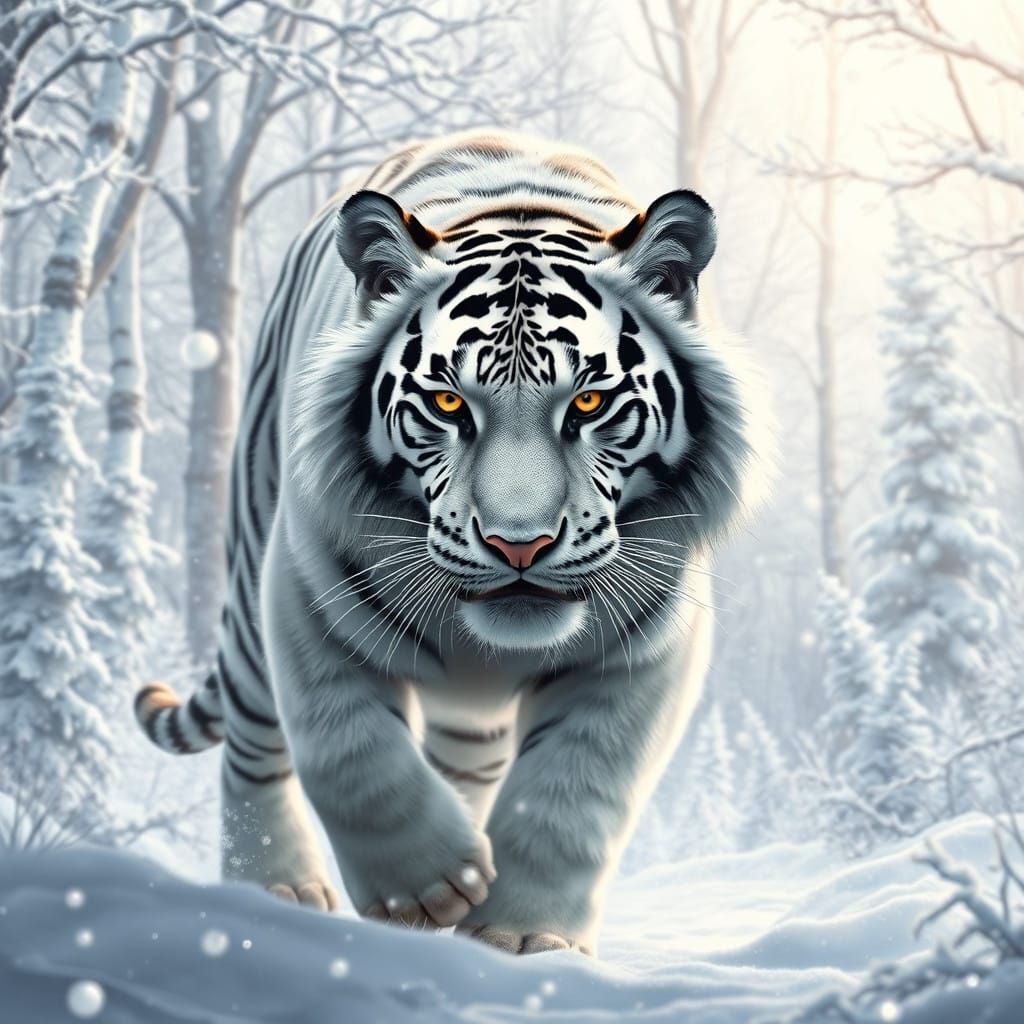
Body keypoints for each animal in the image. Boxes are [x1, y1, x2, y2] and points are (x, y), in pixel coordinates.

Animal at [135, 130, 767, 956]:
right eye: (446, 403)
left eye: (588, 403)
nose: (519, 545)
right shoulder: (305, 585)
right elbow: (349, 747)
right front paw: (427, 886)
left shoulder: (649, 638)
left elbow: (579, 783)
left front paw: (525, 935)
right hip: (247, 584)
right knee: (253, 743)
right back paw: (275, 888)